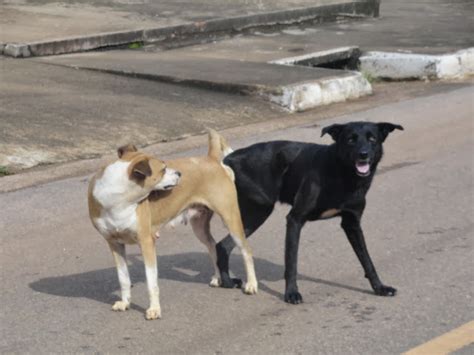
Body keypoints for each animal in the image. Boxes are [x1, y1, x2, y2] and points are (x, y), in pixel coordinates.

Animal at [89, 131, 260, 320]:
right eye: (163, 170)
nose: (179, 173)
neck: (118, 199)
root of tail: (211, 159)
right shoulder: (114, 244)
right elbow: (123, 278)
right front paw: (125, 303)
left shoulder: (146, 242)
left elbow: (151, 282)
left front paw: (154, 309)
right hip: (199, 226)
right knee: (212, 245)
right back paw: (217, 278)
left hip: (230, 219)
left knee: (246, 250)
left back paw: (251, 284)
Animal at [217, 121, 402, 304]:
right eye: (350, 140)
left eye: (372, 139)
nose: (363, 154)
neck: (341, 173)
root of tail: (229, 159)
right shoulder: (295, 219)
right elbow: (291, 262)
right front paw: (291, 293)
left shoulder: (352, 224)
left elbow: (367, 260)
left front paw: (379, 287)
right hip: (260, 208)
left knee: (223, 245)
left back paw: (226, 282)